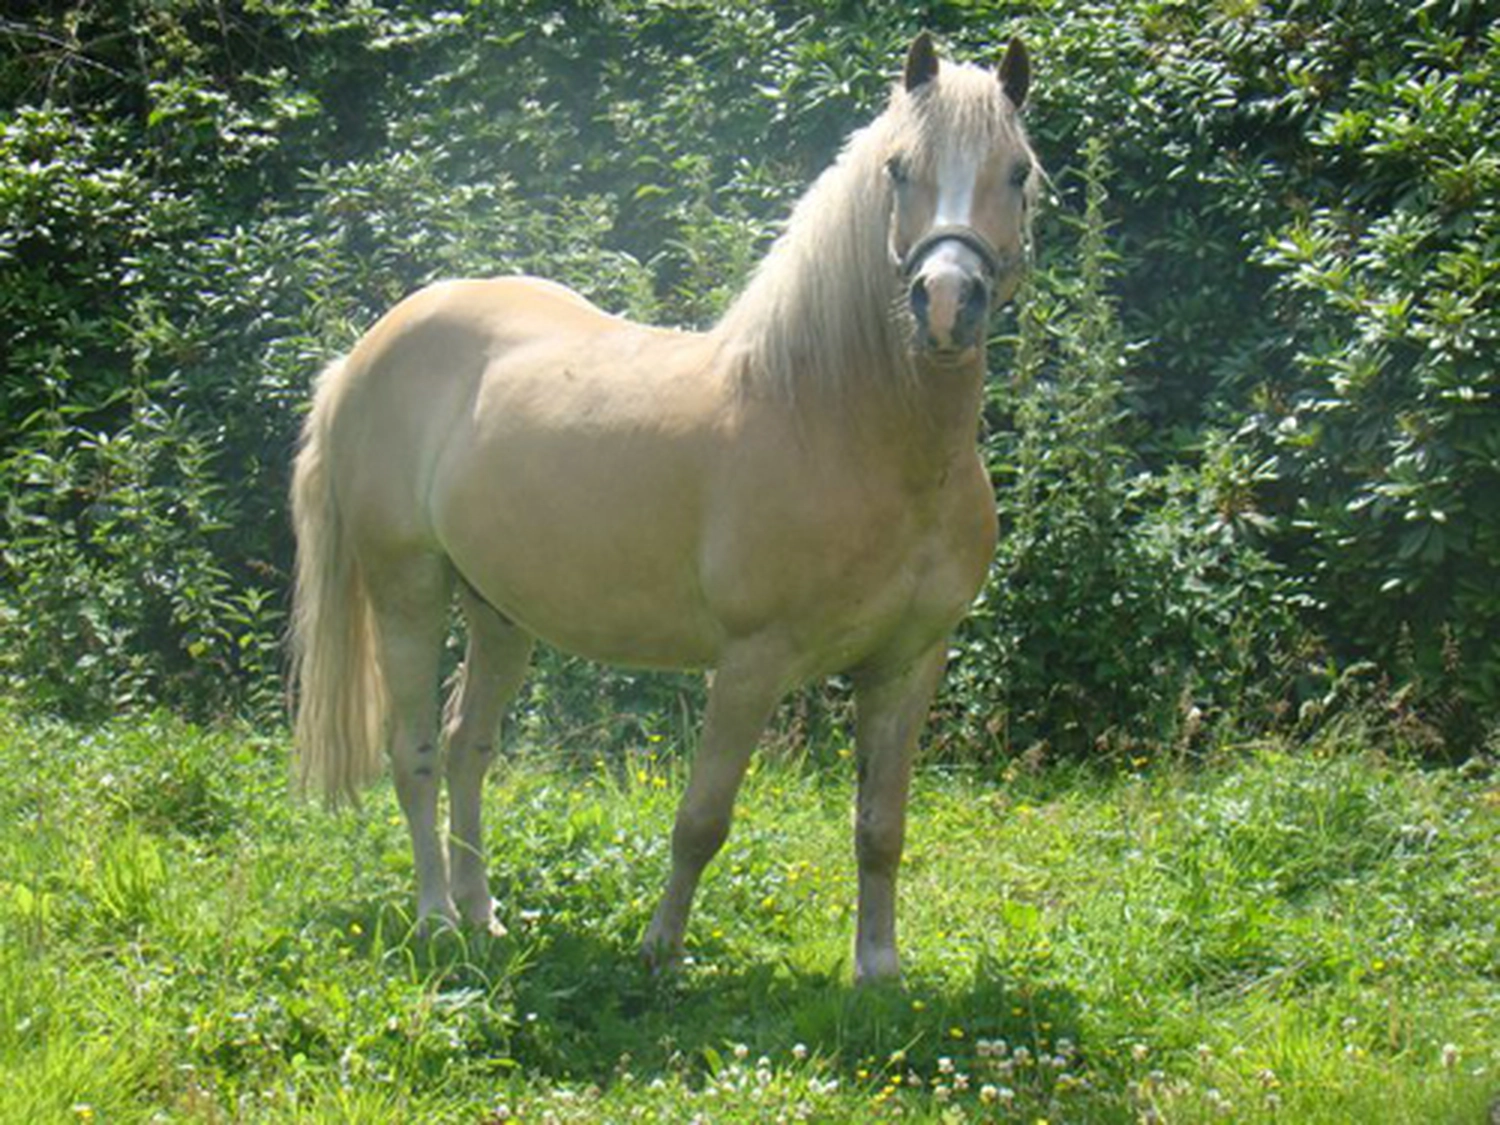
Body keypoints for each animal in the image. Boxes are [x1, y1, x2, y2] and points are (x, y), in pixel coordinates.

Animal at [290, 31, 1039, 983]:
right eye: (899, 169)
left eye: (1016, 170)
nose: (946, 303)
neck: (842, 422)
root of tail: (364, 352)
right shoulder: (752, 661)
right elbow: (702, 818)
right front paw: (660, 952)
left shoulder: (909, 663)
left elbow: (881, 827)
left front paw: (878, 970)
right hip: (407, 588)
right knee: (416, 752)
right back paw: (437, 921)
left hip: (499, 610)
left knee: (467, 746)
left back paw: (484, 913)